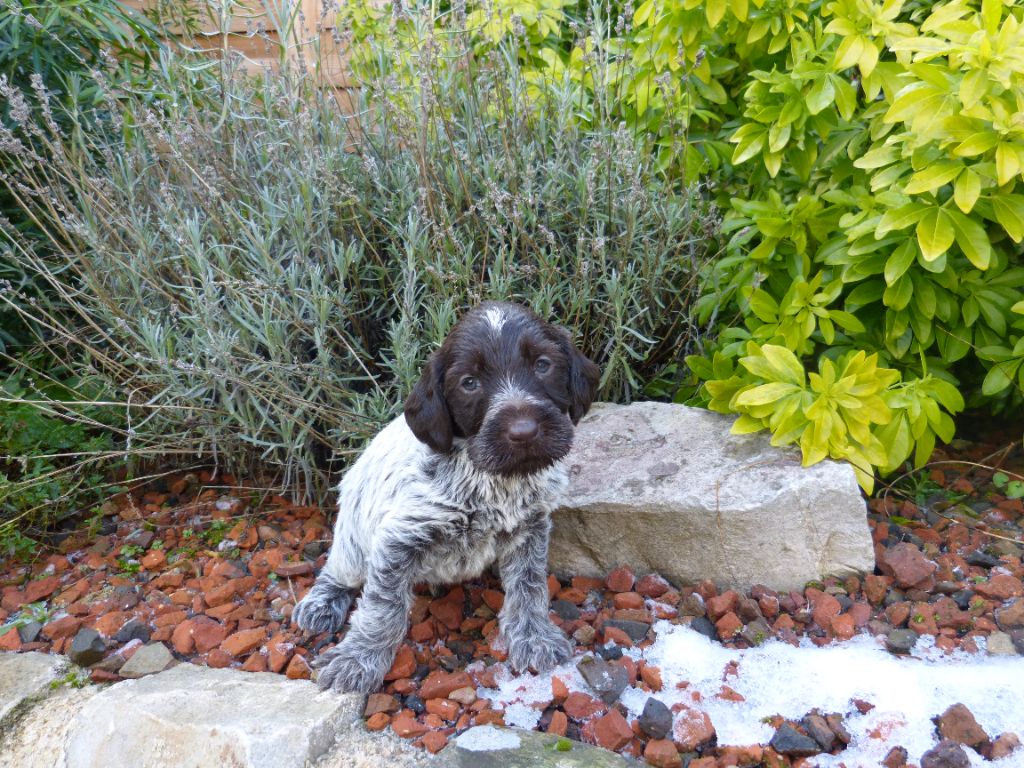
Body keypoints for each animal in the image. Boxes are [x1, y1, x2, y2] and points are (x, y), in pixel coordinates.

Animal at [290, 303, 598, 696]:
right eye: (469, 383)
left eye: (543, 364)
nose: (524, 432)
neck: (492, 478)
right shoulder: (397, 539)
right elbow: (381, 610)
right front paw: (357, 659)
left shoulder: (530, 527)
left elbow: (529, 587)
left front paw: (533, 637)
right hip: (354, 538)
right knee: (338, 570)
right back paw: (321, 602)